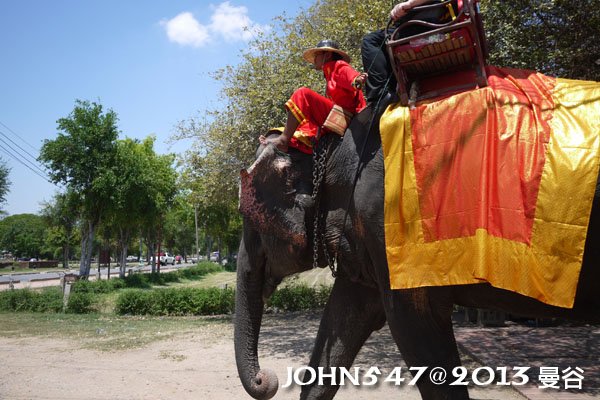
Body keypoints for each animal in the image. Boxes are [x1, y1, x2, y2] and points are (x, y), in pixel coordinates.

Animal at [234, 101, 600, 398]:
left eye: (246, 221)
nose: (267, 380)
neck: (333, 148)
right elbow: (344, 319)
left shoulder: (393, 225)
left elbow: (413, 323)